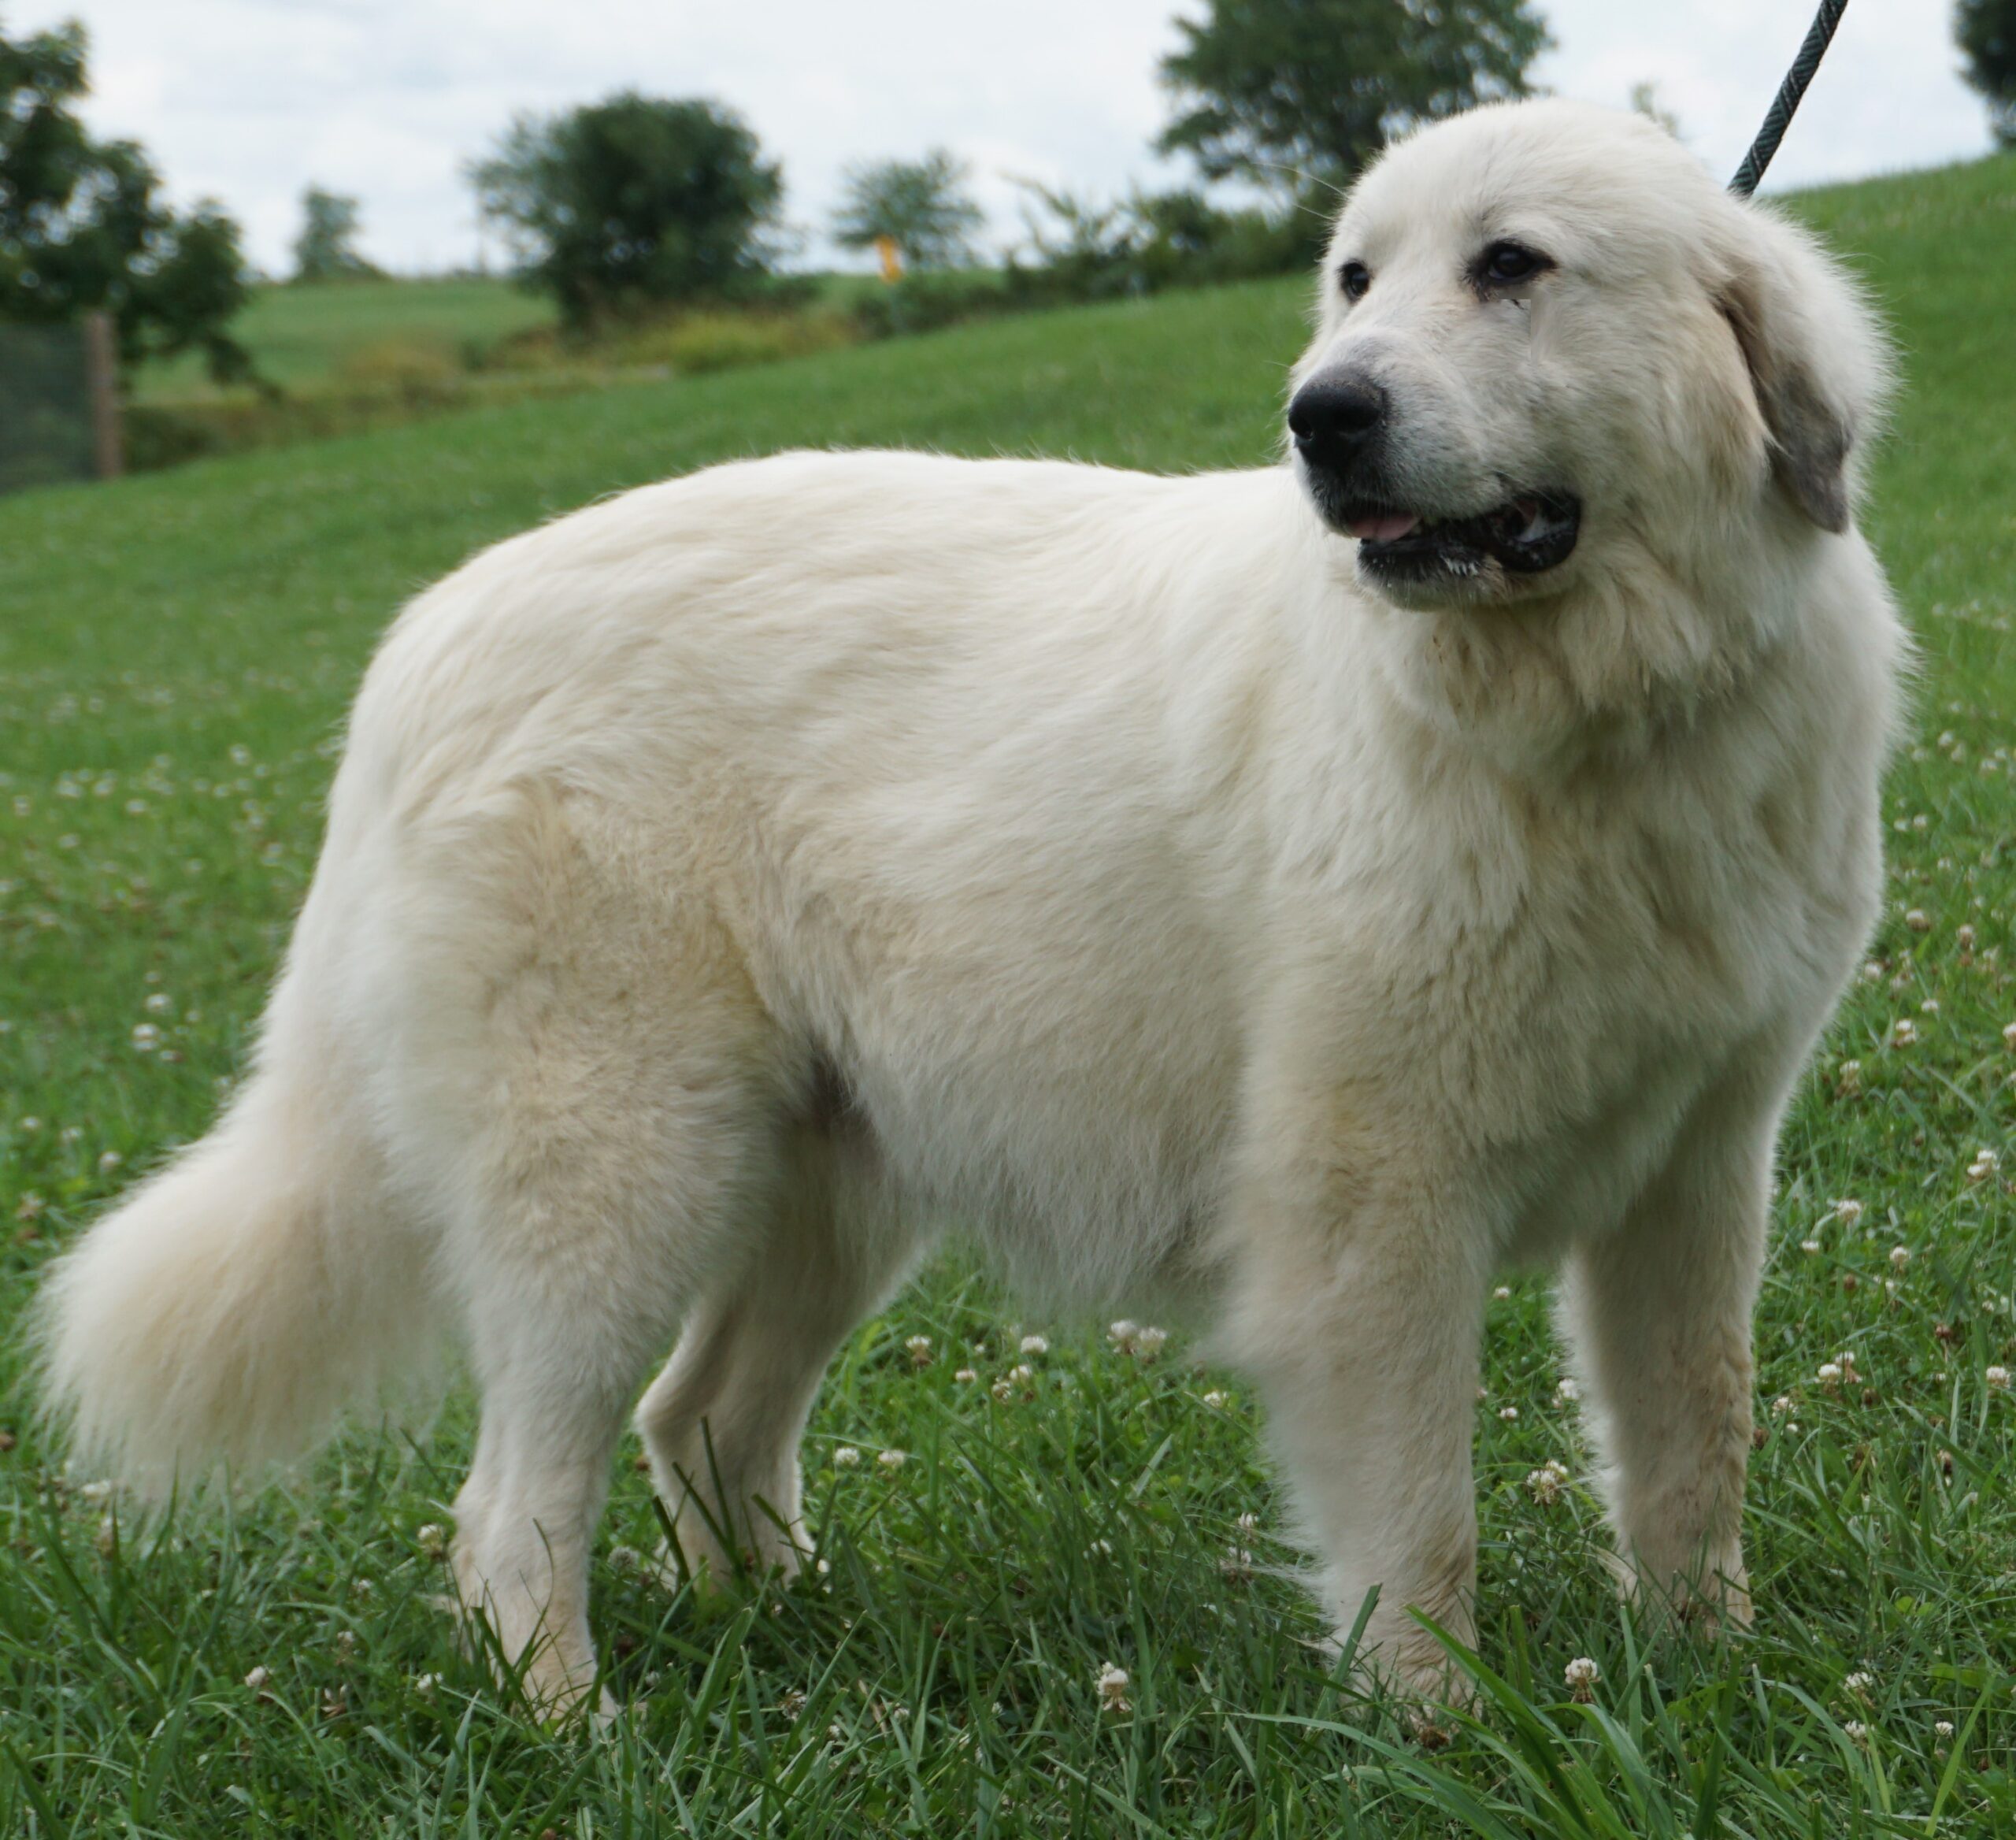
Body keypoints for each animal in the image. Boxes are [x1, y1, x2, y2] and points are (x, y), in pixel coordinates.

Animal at [42, 98, 1902, 1714]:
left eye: (1511, 265)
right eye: (1356, 281)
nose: (1323, 413)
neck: (1587, 722)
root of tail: (424, 642)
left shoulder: (1697, 1167)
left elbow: (1695, 1446)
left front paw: (1709, 1677)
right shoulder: (1373, 1203)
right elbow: (1417, 1529)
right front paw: (1443, 1734)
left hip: (825, 1181)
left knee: (701, 1420)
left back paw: (793, 1636)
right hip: (619, 1177)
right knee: (511, 1508)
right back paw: (578, 1729)